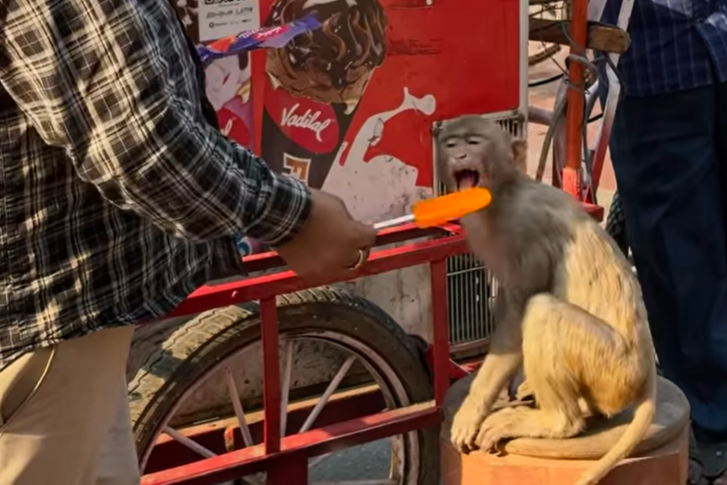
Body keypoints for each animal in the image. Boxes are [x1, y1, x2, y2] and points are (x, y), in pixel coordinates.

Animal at [437, 115, 656, 485]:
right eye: (451, 144)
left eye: (474, 141)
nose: (459, 154)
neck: (503, 194)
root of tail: (647, 378)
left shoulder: (524, 231)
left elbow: (517, 312)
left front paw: (473, 408)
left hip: (613, 370)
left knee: (542, 311)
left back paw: (560, 421)